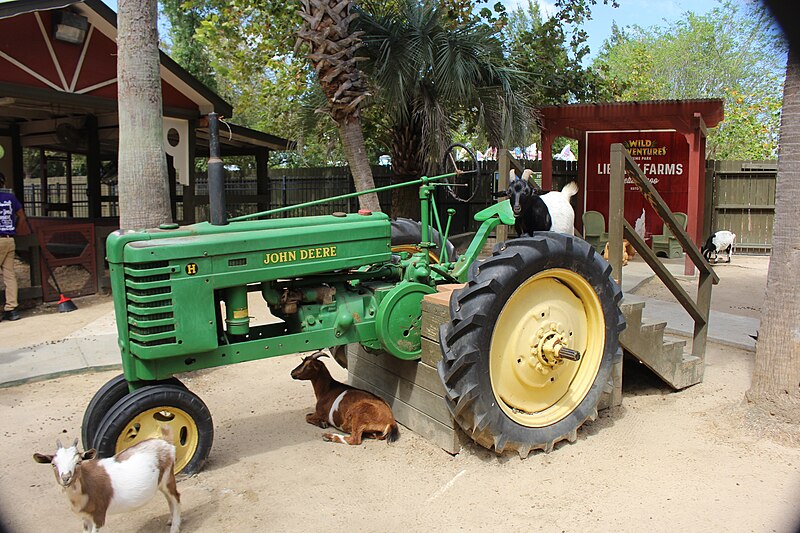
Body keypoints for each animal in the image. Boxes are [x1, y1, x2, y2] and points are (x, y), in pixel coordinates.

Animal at [33, 428, 180, 532]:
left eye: (78, 462)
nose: (66, 478)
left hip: (167, 477)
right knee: (169, 498)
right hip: (161, 483)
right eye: (53, 464)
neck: (87, 486)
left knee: (175, 497)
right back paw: (170, 520)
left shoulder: (99, 516)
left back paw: (175, 528)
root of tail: (166, 442)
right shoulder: (85, 518)